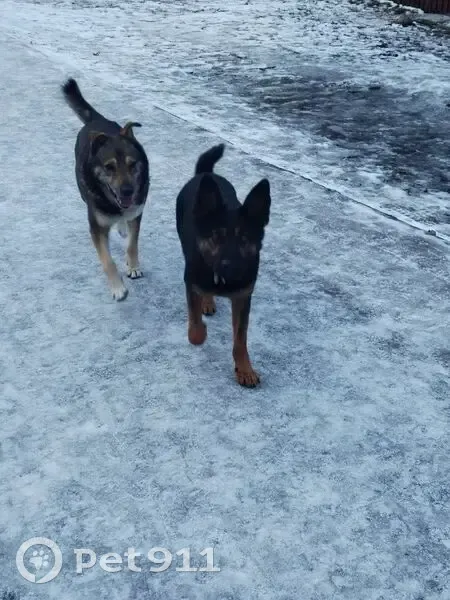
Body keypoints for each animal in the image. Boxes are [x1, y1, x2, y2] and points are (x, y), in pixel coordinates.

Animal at [61, 78, 150, 301]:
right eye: (109, 167)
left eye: (132, 164)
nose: (127, 191)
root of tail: (97, 120)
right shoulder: (97, 227)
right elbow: (107, 260)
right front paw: (118, 288)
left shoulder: (136, 212)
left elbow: (133, 244)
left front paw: (133, 266)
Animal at [176, 143, 271, 387]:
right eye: (216, 237)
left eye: (244, 239)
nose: (229, 267)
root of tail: (205, 174)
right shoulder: (191, 282)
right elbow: (195, 329)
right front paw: (200, 331)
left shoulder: (243, 297)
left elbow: (240, 339)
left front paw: (245, 369)